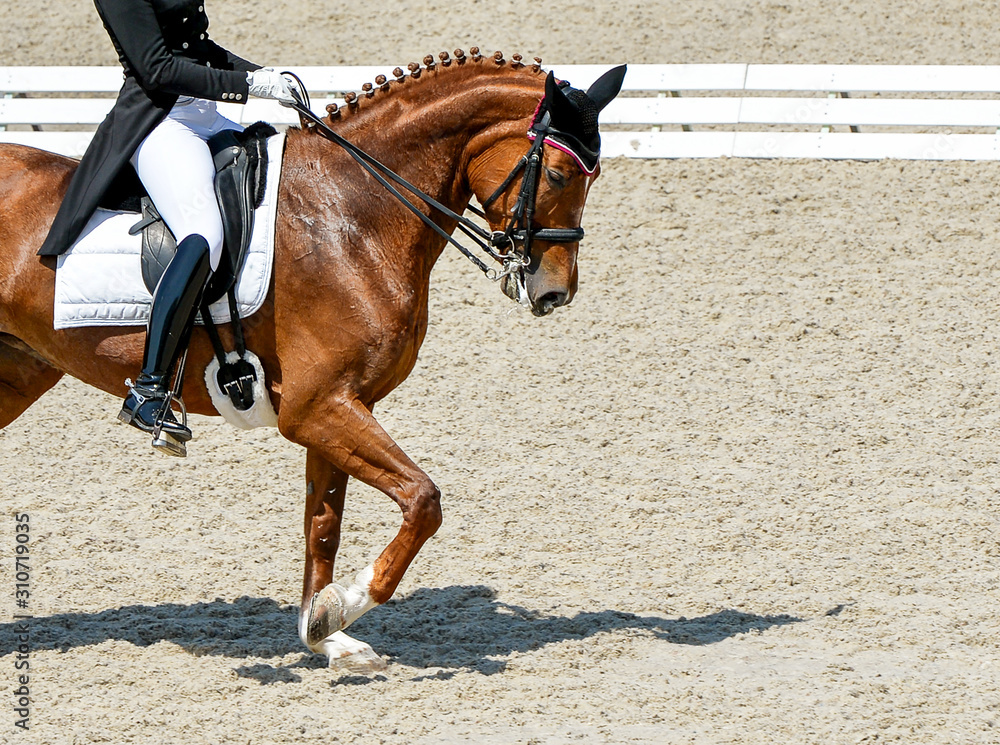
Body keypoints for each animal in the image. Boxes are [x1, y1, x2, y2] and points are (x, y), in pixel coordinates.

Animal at [0, 50, 625, 670]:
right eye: (560, 174)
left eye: (592, 176)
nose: (555, 293)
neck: (354, 210)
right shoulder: (316, 408)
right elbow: (424, 501)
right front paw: (343, 608)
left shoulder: (341, 406)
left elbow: (324, 524)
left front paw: (325, 631)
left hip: (19, 374)